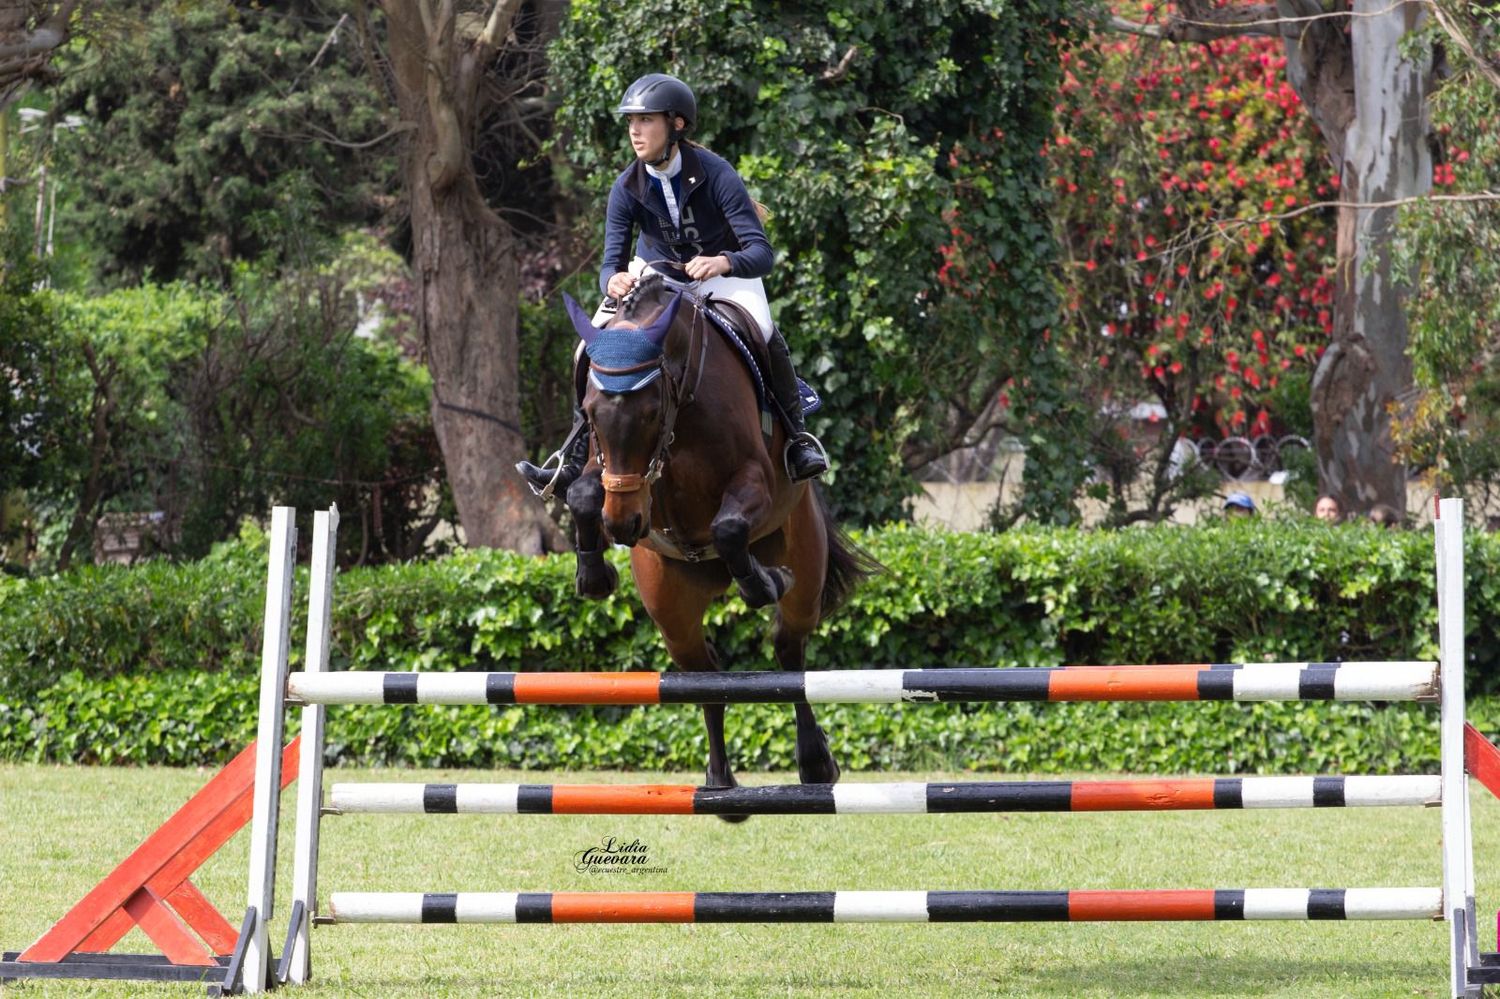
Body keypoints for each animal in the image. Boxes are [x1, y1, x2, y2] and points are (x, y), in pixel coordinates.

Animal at [558, 268, 876, 804]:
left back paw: (814, 762)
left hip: (802, 564)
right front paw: (594, 577)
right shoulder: (612, 477)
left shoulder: (754, 482)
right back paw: (719, 783)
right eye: (590, 409)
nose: (623, 526)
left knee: (789, 654)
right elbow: (582, 494)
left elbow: (728, 528)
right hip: (672, 609)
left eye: (650, 412)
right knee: (706, 678)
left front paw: (763, 584)